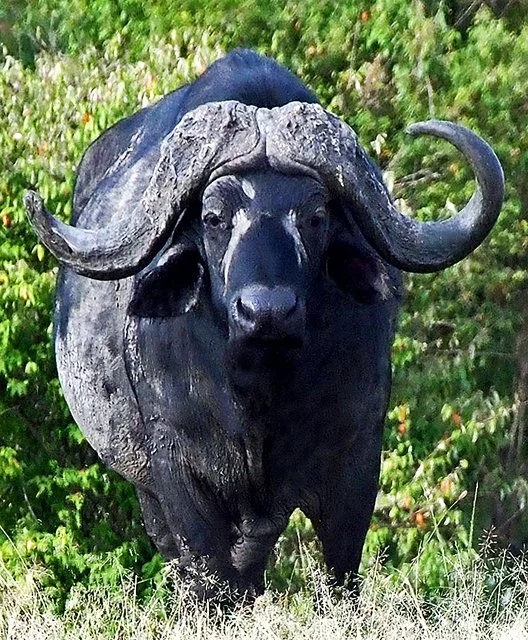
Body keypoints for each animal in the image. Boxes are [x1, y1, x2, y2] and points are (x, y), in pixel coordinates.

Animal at [25, 49, 504, 598]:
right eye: (213, 217)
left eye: (316, 215)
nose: (266, 311)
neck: (257, 395)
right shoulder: (176, 470)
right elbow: (209, 575)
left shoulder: (357, 459)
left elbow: (339, 570)